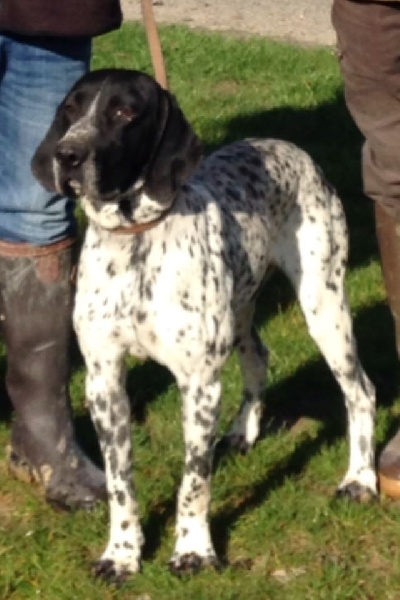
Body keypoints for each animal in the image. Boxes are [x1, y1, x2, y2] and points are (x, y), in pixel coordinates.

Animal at [32, 68, 377, 581]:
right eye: (71, 108)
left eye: (124, 111)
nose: (67, 154)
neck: (136, 243)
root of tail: (288, 147)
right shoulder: (103, 381)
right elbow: (119, 483)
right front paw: (122, 553)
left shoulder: (198, 383)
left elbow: (194, 482)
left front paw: (194, 550)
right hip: (242, 309)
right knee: (259, 358)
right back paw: (242, 432)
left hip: (325, 307)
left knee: (360, 392)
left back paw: (360, 479)